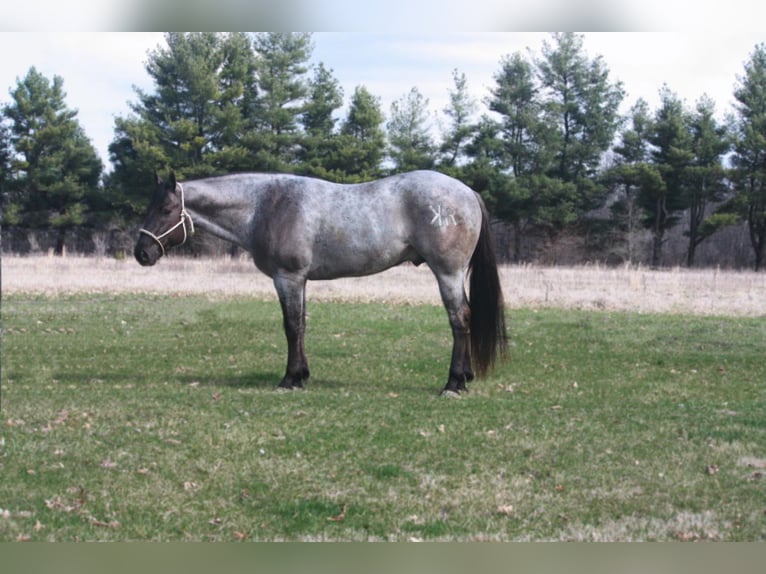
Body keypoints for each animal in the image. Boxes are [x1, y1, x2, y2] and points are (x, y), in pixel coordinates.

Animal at [136, 171, 510, 396]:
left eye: (166, 208)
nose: (142, 252)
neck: (265, 205)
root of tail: (467, 191)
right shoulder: (299, 280)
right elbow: (301, 325)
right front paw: (301, 375)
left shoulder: (287, 277)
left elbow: (290, 326)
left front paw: (289, 379)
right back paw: (465, 377)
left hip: (447, 273)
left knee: (460, 319)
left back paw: (453, 383)